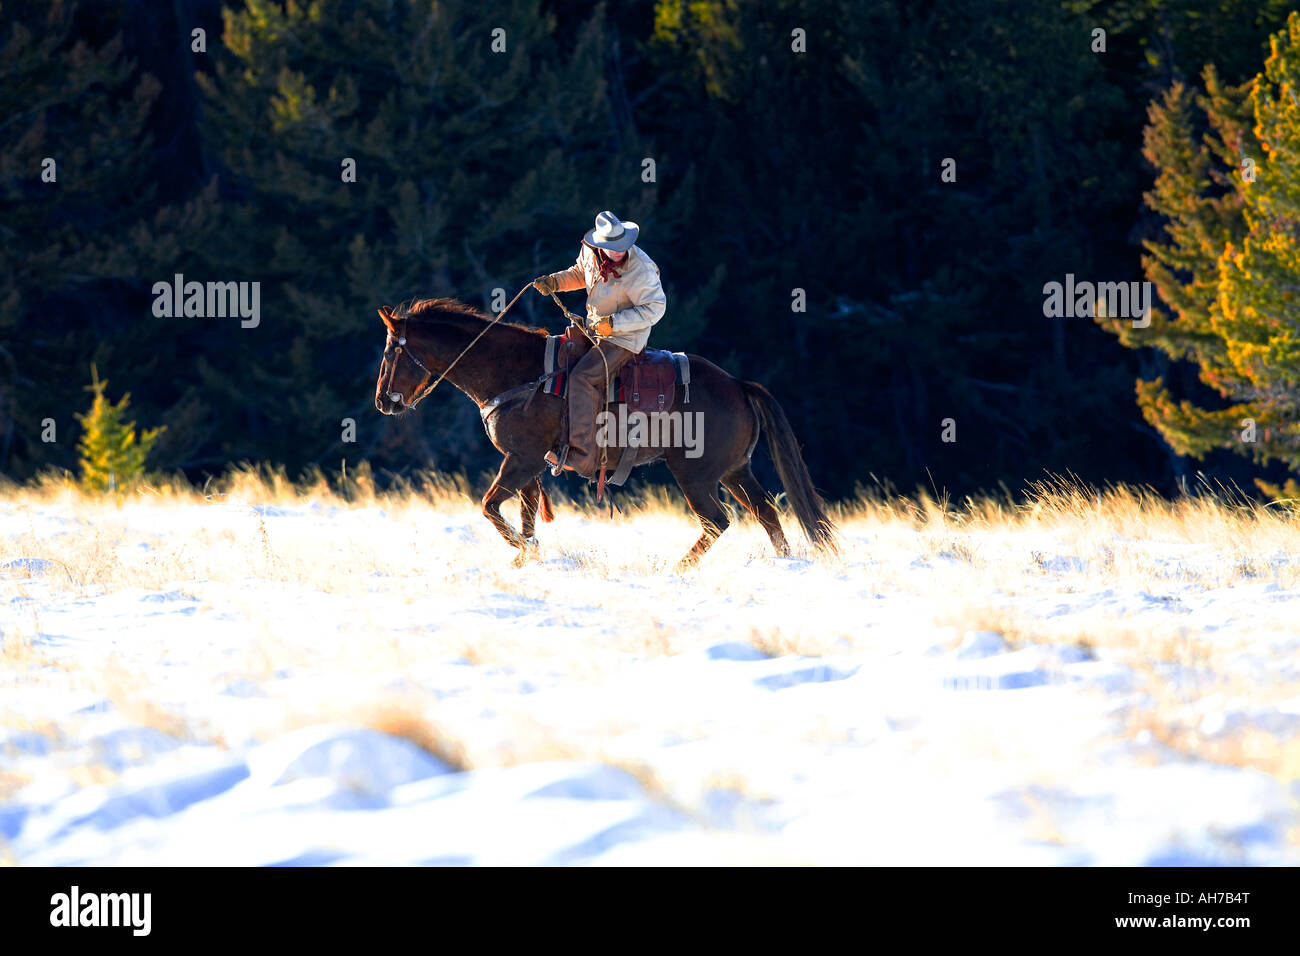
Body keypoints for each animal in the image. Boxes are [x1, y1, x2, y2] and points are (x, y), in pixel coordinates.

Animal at [371, 299, 837, 564]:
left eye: (391, 351)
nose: (383, 401)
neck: (516, 372)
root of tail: (738, 385)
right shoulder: (528, 468)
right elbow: (525, 517)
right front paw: (528, 558)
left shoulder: (520, 461)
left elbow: (489, 507)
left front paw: (525, 552)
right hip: (735, 471)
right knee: (767, 514)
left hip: (696, 475)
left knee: (717, 522)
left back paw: (679, 569)